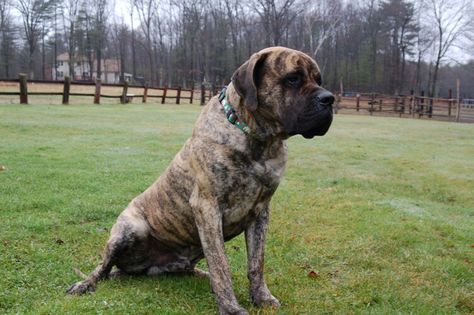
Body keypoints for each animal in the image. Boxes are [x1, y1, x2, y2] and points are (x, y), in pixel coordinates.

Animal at [66, 45, 334, 314]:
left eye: (319, 79)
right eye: (293, 78)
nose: (329, 99)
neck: (260, 140)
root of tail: (142, 269)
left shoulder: (260, 212)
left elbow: (256, 262)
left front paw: (262, 297)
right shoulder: (207, 208)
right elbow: (221, 264)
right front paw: (230, 307)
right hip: (130, 228)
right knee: (102, 267)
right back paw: (84, 284)